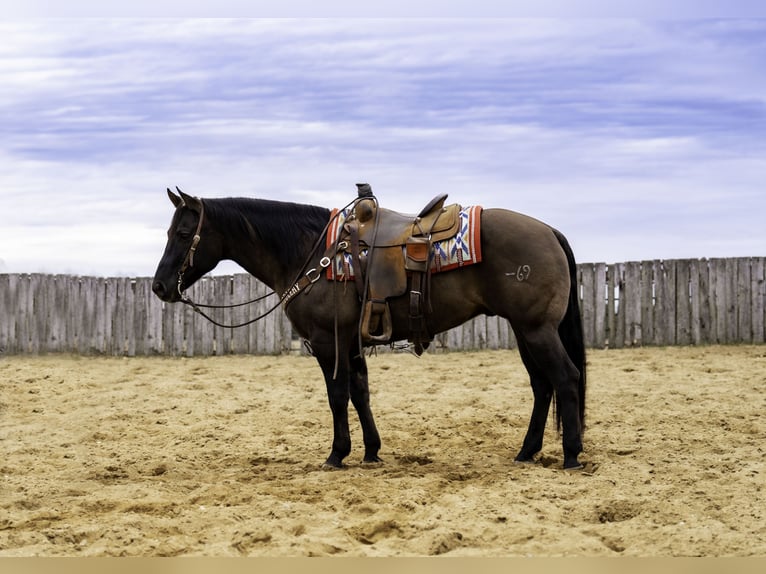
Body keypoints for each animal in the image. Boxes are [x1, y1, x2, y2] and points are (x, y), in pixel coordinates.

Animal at [153, 187, 592, 470]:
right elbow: (360, 393)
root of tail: (550, 232)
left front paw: (337, 454)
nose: (159, 286)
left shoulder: (328, 341)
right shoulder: (351, 342)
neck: (311, 251)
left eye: (182, 233)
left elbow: (337, 396)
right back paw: (527, 451)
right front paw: (371, 451)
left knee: (566, 378)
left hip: (536, 330)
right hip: (524, 331)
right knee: (542, 385)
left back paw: (571, 455)